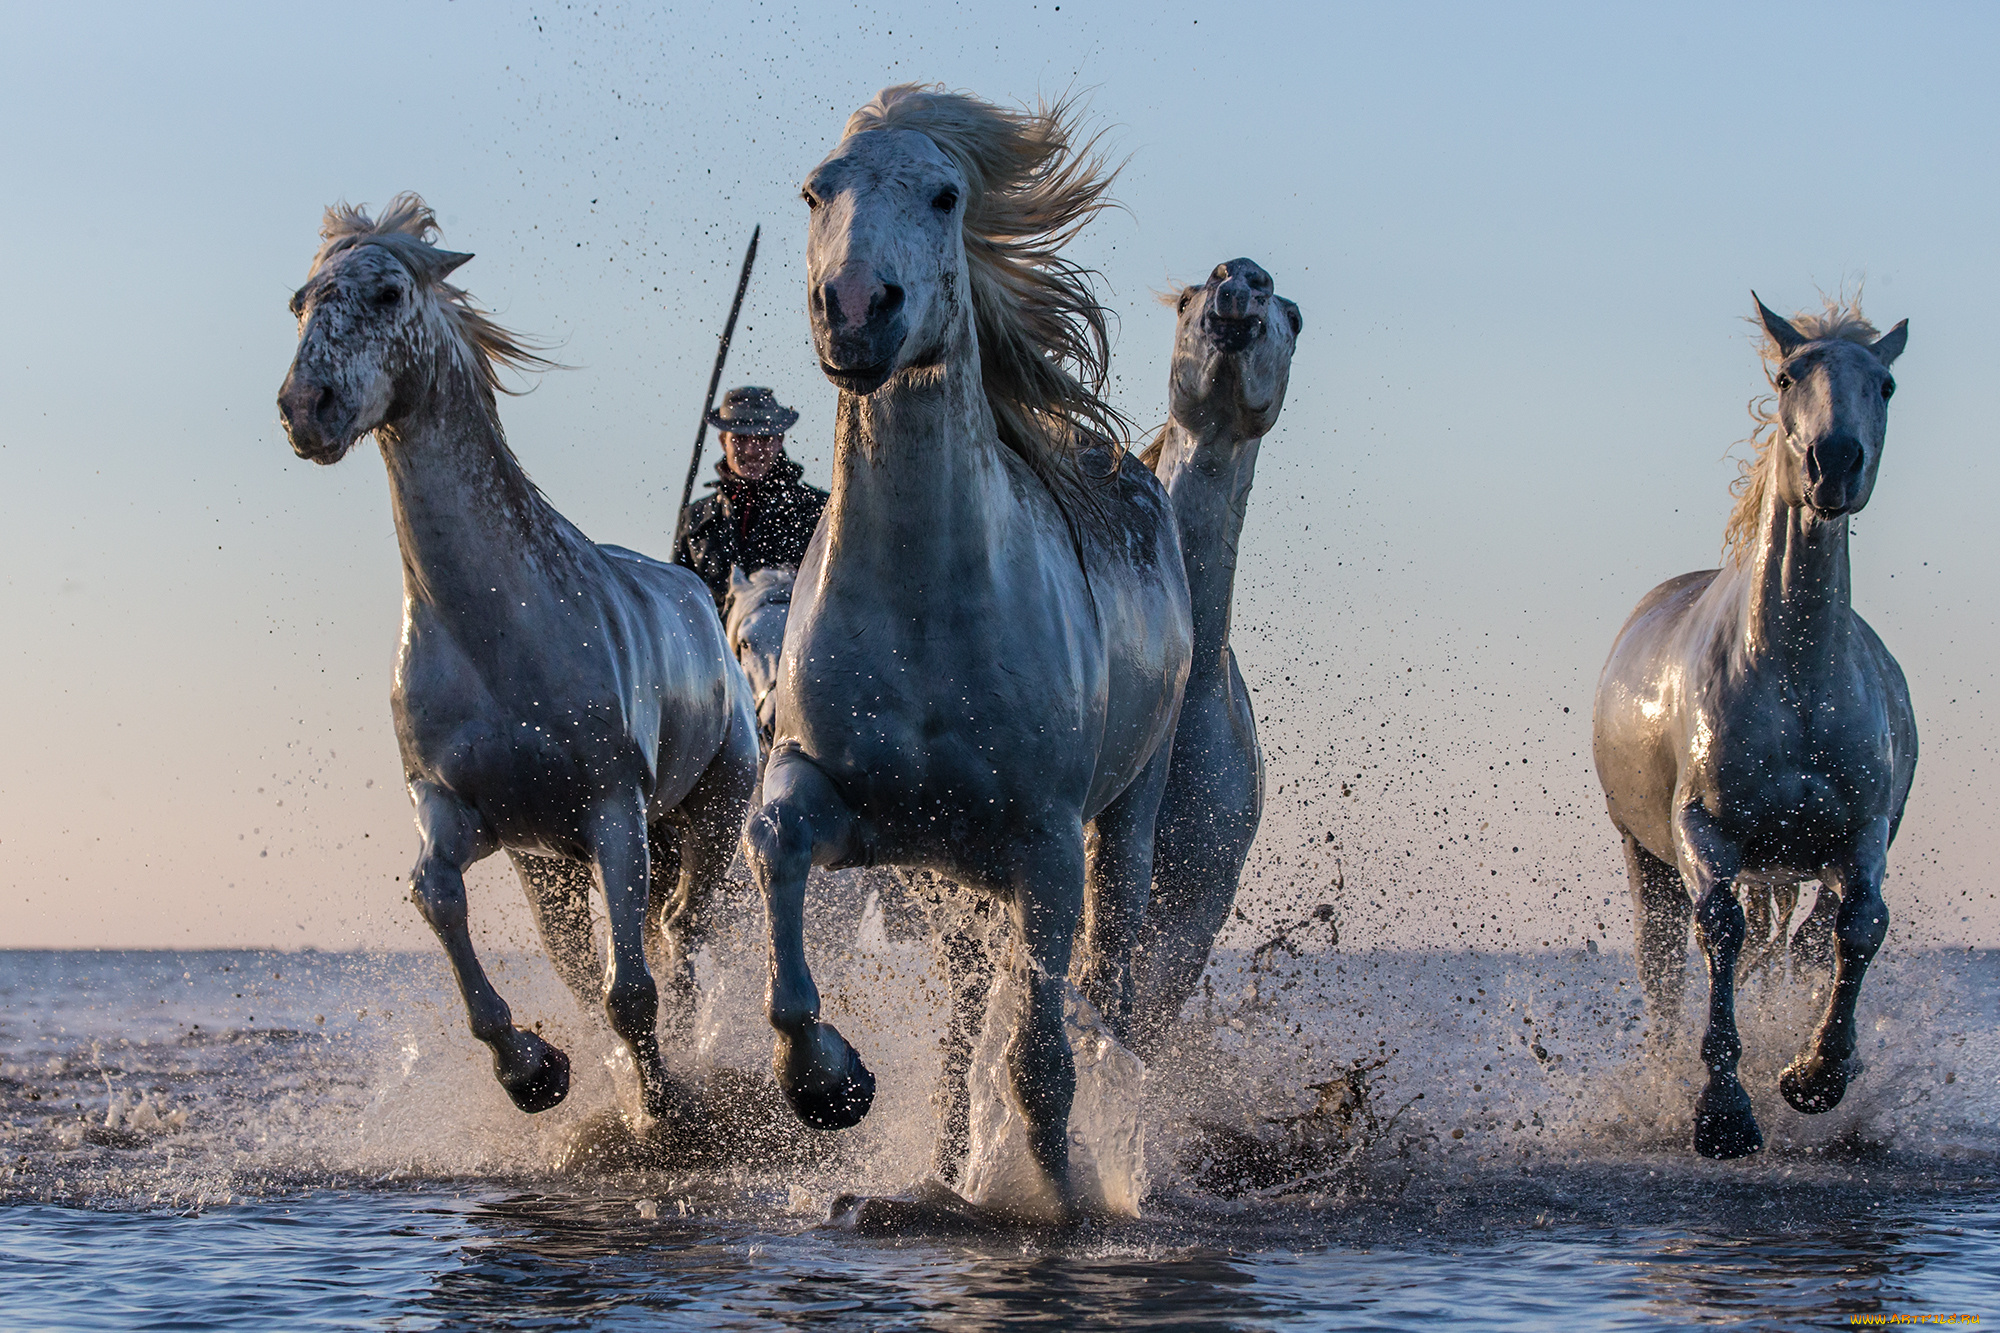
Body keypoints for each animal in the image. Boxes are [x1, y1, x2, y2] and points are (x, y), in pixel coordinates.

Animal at [276, 196, 761, 1124]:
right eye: (299, 301)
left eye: (388, 291)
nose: (304, 407)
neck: (497, 631)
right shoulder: (458, 808)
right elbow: (438, 896)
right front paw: (533, 1069)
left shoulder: (615, 808)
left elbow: (631, 988)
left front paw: (662, 1104)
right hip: (550, 869)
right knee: (596, 954)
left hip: (715, 811)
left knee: (681, 932)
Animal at [742, 85, 1193, 1218]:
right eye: (815, 190)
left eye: (946, 195)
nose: (855, 308)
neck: (926, 613)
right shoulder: (843, 800)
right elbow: (772, 847)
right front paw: (827, 1083)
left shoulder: (1043, 846)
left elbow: (1038, 1058)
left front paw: (1060, 1203)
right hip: (955, 879)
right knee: (959, 1023)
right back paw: (936, 1178)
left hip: (1123, 819)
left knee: (1099, 998)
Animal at [1592, 295, 1915, 1158]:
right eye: (1787, 375)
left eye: (1885, 384)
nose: (1835, 462)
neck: (1793, 679)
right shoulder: (1703, 831)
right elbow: (1722, 932)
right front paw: (1722, 1111)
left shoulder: (1860, 834)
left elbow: (1859, 927)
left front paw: (1814, 1076)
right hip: (1645, 854)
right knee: (1663, 964)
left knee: (1805, 941)